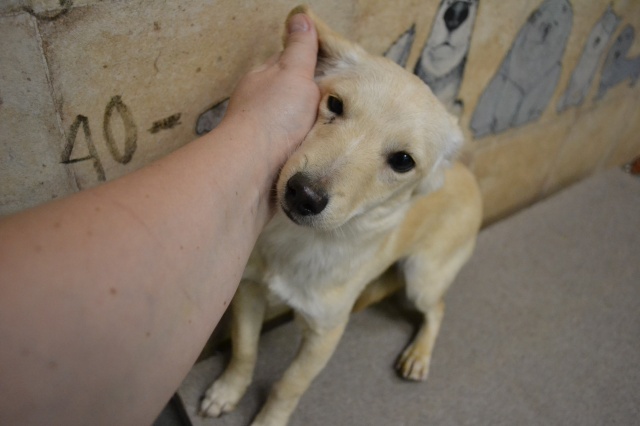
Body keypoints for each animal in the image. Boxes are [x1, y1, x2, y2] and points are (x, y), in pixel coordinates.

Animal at [199, 6, 482, 426]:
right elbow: (244, 351)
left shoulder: (325, 334)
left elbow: (288, 386)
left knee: (439, 308)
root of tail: (471, 177)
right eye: (334, 104)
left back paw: (419, 354)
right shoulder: (248, 292)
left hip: (422, 277)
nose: (303, 195)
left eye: (403, 161)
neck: (300, 243)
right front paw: (228, 391)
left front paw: (269, 420)